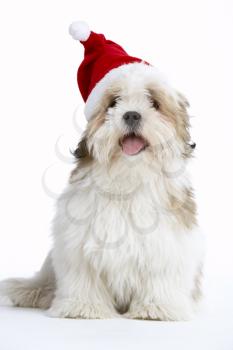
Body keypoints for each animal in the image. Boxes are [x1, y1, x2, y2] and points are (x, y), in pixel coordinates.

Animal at [0, 21, 204, 320]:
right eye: (113, 103)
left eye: (153, 102)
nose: (131, 114)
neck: (128, 178)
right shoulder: (77, 242)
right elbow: (84, 276)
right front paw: (83, 306)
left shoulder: (167, 242)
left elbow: (160, 276)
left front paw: (156, 307)